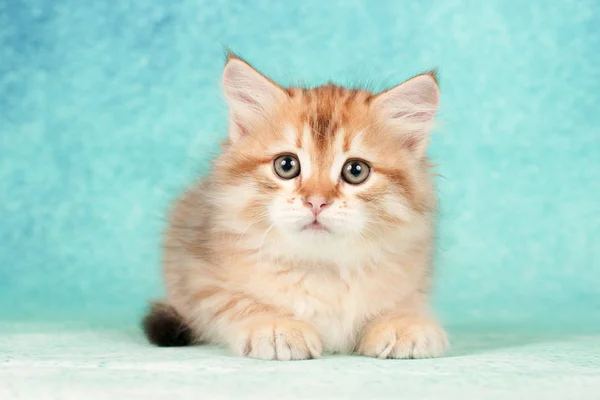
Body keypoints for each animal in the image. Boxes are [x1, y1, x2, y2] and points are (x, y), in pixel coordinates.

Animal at [143, 54, 448, 360]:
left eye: (356, 171)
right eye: (286, 165)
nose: (316, 201)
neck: (321, 268)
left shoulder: (413, 278)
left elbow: (403, 303)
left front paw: (403, 325)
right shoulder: (198, 276)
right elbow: (237, 302)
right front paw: (275, 327)